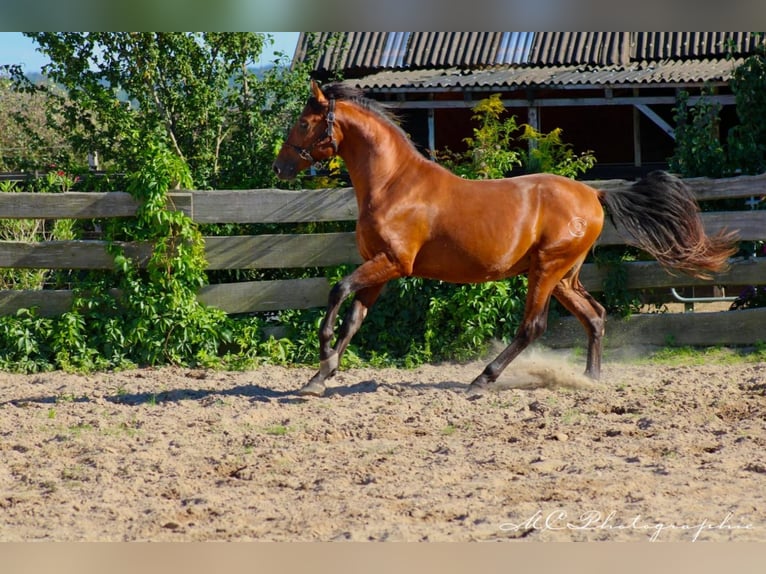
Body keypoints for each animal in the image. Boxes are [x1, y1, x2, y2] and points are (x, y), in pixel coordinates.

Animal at [272, 79, 740, 398]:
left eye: (303, 122)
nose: (280, 167)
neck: (394, 184)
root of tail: (594, 194)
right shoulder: (381, 268)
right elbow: (355, 318)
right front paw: (320, 377)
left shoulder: (393, 263)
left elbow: (337, 291)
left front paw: (323, 352)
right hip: (563, 275)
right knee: (595, 315)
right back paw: (588, 378)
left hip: (546, 269)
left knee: (532, 326)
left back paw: (482, 379)